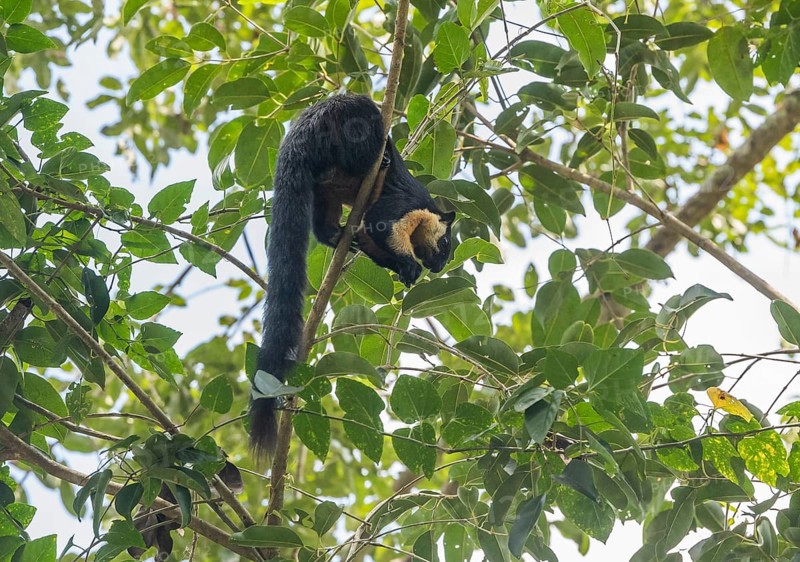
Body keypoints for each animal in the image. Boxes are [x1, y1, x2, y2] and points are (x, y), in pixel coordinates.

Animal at [250, 94, 455, 457]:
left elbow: (372, 241)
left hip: (324, 189)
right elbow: (382, 224)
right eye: (444, 244)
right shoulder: (403, 205)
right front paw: (409, 265)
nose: (439, 266)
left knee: (322, 222)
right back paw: (383, 157)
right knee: (361, 153)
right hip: (352, 134)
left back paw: (337, 236)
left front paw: (402, 268)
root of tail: (301, 131)